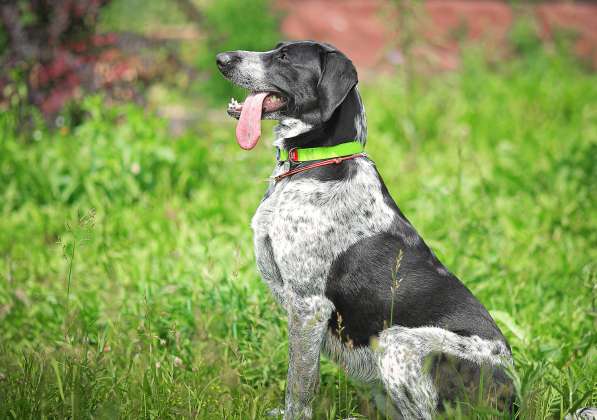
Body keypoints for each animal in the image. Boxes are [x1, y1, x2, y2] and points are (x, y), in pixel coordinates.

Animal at [217, 40, 516, 420]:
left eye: (284, 57)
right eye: (276, 48)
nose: (221, 59)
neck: (318, 160)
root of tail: (513, 399)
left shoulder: (309, 306)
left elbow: (299, 385)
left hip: (397, 342)